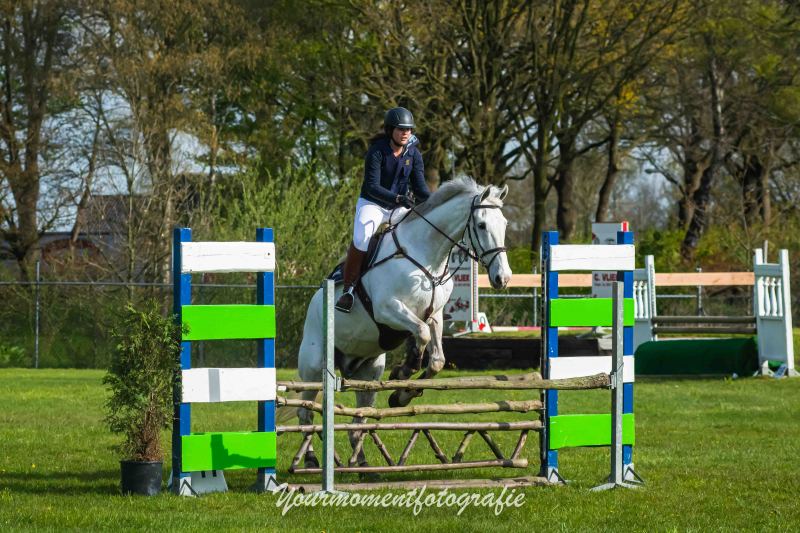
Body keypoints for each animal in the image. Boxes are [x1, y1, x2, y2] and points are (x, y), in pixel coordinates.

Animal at [295, 177, 512, 469]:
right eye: (481, 225)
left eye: (505, 224)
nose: (503, 278)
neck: (428, 256)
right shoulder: (388, 309)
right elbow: (420, 335)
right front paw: (404, 371)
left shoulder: (434, 315)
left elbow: (436, 359)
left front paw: (401, 394)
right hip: (314, 368)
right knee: (304, 413)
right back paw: (310, 460)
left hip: (369, 372)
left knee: (357, 421)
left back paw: (362, 464)